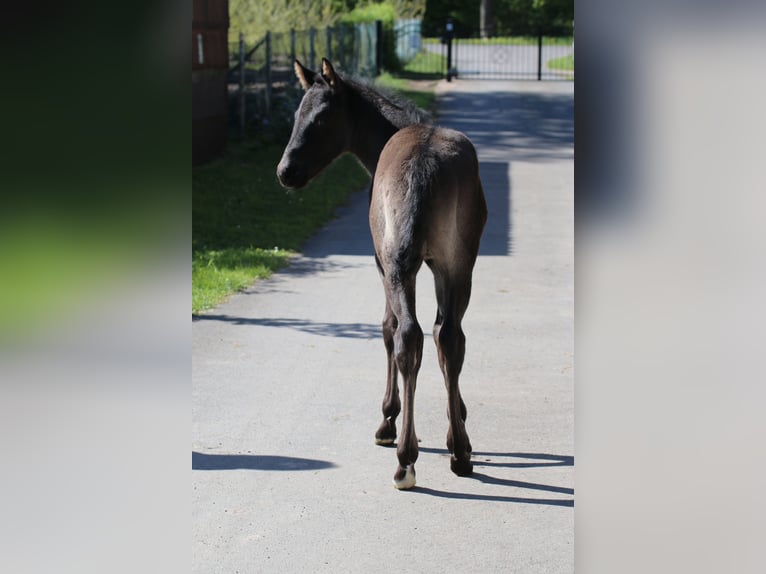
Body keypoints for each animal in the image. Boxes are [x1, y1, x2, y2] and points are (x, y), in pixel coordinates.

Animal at [280, 58, 488, 490]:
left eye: (321, 118)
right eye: (295, 116)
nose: (285, 172)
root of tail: (424, 161)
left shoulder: (381, 263)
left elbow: (388, 328)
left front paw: (388, 419)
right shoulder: (435, 266)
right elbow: (441, 336)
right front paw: (457, 416)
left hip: (399, 263)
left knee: (408, 334)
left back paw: (405, 459)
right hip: (458, 263)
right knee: (449, 336)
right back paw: (459, 453)